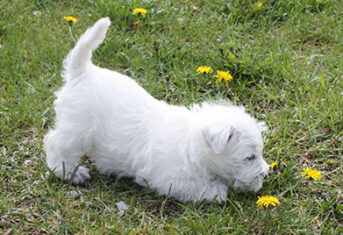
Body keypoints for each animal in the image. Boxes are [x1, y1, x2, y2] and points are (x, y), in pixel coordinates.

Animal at [45, 17, 270, 202]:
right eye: (249, 157)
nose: (265, 173)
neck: (193, 143)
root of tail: (82, 72)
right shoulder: (170, 179)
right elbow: (198, 186)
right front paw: (218, 191)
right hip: (77, 130)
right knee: (54, 142)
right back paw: (70, 173)